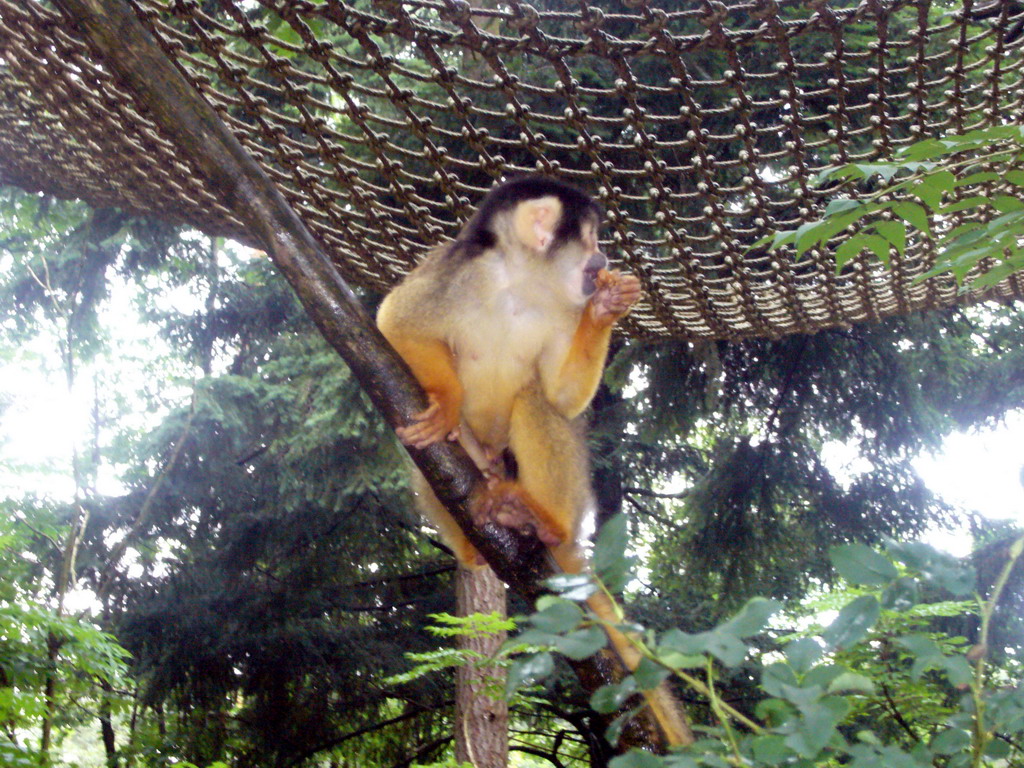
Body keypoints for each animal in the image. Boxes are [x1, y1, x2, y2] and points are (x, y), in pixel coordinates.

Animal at [380, 177, 692, 749]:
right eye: (590, 237)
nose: (603, 258)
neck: (519, 286)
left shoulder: (563, 310)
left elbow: (562, 397)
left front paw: (606, 310)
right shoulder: (456, 271)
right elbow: (395, 322)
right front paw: (447, 402)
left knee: (535, 399)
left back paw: (542, 520)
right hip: (480, 464)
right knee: (420, 450)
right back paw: (473, 540)